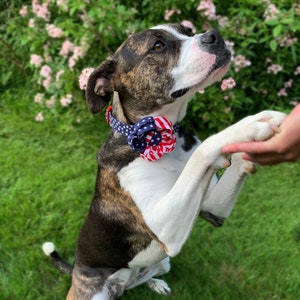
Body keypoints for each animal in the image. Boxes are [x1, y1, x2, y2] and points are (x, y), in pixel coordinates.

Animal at [42, 22, 286, 298]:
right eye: (157, 46)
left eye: (187, 29)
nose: (214, 36)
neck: (166, 135)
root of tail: (76, 271)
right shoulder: (166, 226)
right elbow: (204, 151)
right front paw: (248, 125)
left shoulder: (212, 208)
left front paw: (245, 149)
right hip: (93, 290)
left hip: (162, 262)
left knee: (141, 278)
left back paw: (154, 283)